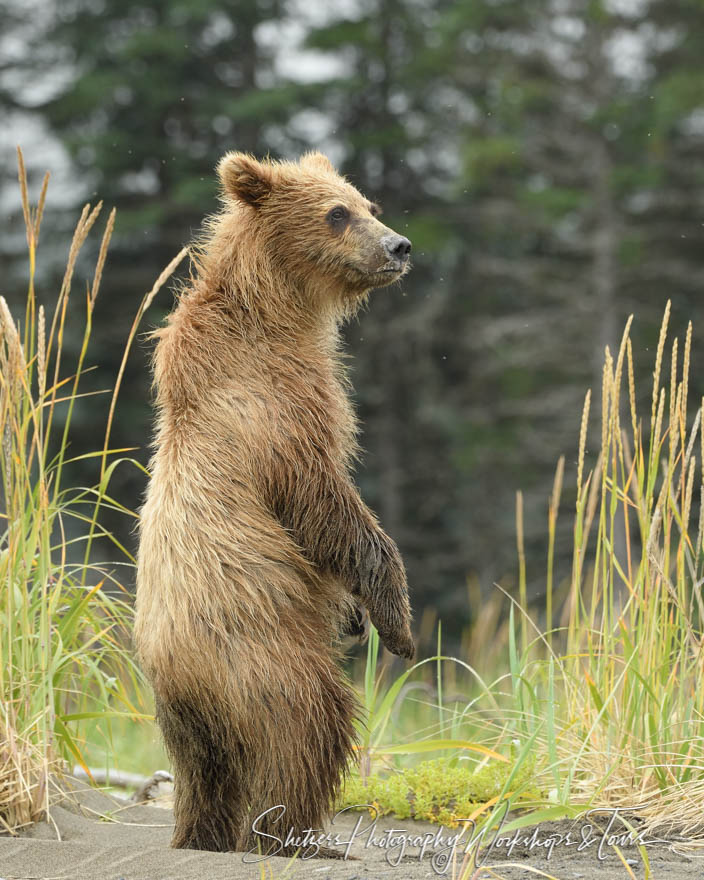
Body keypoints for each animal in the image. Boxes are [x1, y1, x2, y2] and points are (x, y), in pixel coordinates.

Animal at [135, 150, 416, 852]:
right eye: (337, 213)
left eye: (368, 204)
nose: (399, 246)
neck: (277, 314)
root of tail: (184, 678)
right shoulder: (276, 408)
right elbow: (328, 508)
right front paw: (396, 621)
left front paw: (357, 614)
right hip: (258, 649)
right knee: (310, 724)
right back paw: (296, 835)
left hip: (184, 717)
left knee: (207, 774)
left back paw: (202, 836)